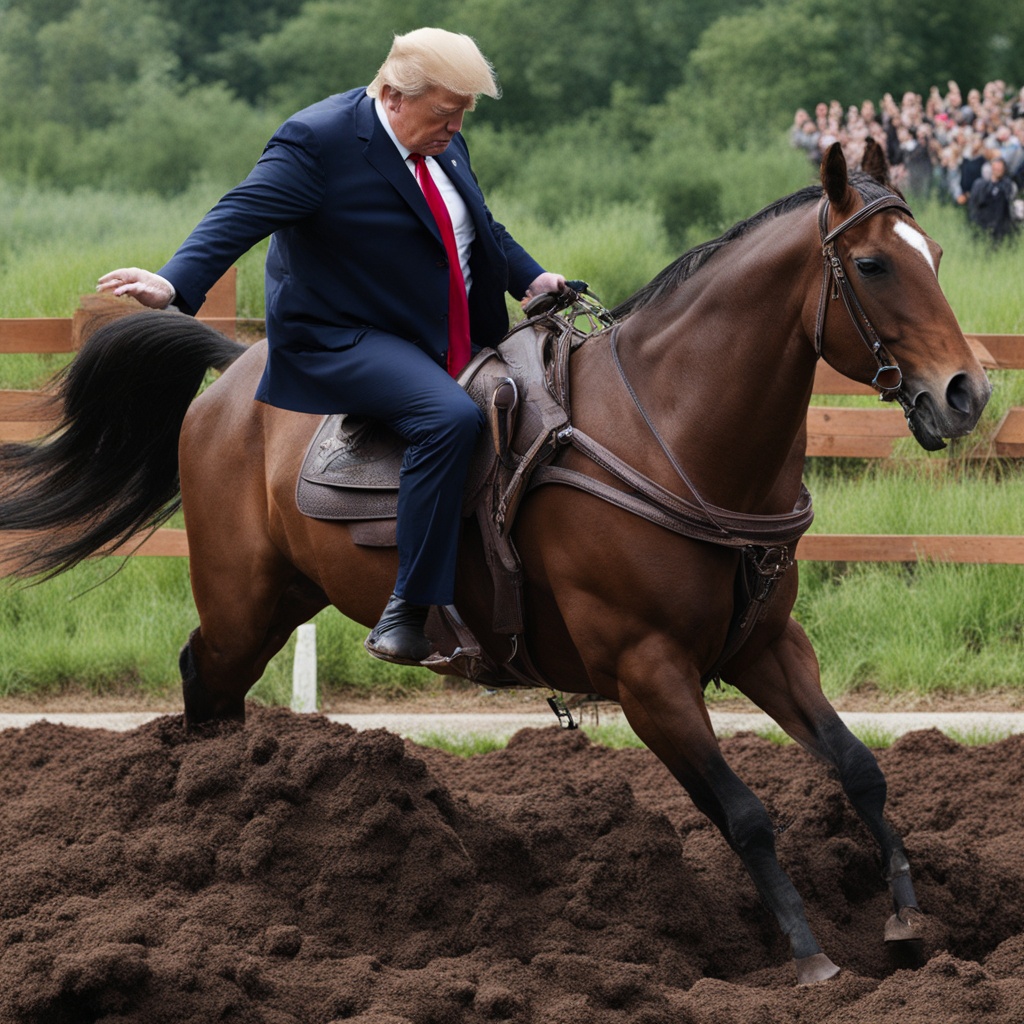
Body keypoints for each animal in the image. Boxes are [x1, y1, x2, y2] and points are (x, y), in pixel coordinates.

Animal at [0, 141, 991, 983]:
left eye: (936, 252)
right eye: (874, 264)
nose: (966, 391)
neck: (665, 433)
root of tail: (235, 373)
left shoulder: (768, 648)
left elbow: (860, 766)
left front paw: (906, 922)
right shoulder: (648, 674)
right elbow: (743, 813)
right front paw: (812, 958)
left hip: (281, 600)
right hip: (243, 604)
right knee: (204, 685)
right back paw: (202, 846)